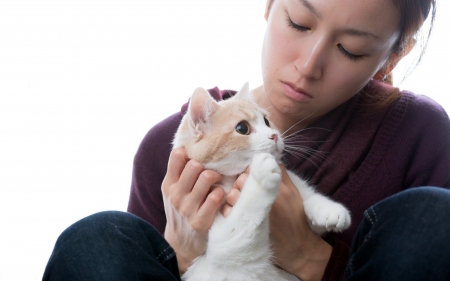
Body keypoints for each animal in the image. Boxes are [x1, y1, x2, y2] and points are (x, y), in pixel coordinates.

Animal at [171, 83, 350, 280]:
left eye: (266, 121)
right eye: (242, 128)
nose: (274, 136)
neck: (233, 178)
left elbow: (307, 197)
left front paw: (328, 209)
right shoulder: (226, 251)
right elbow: (244, 218)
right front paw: (259, 178)